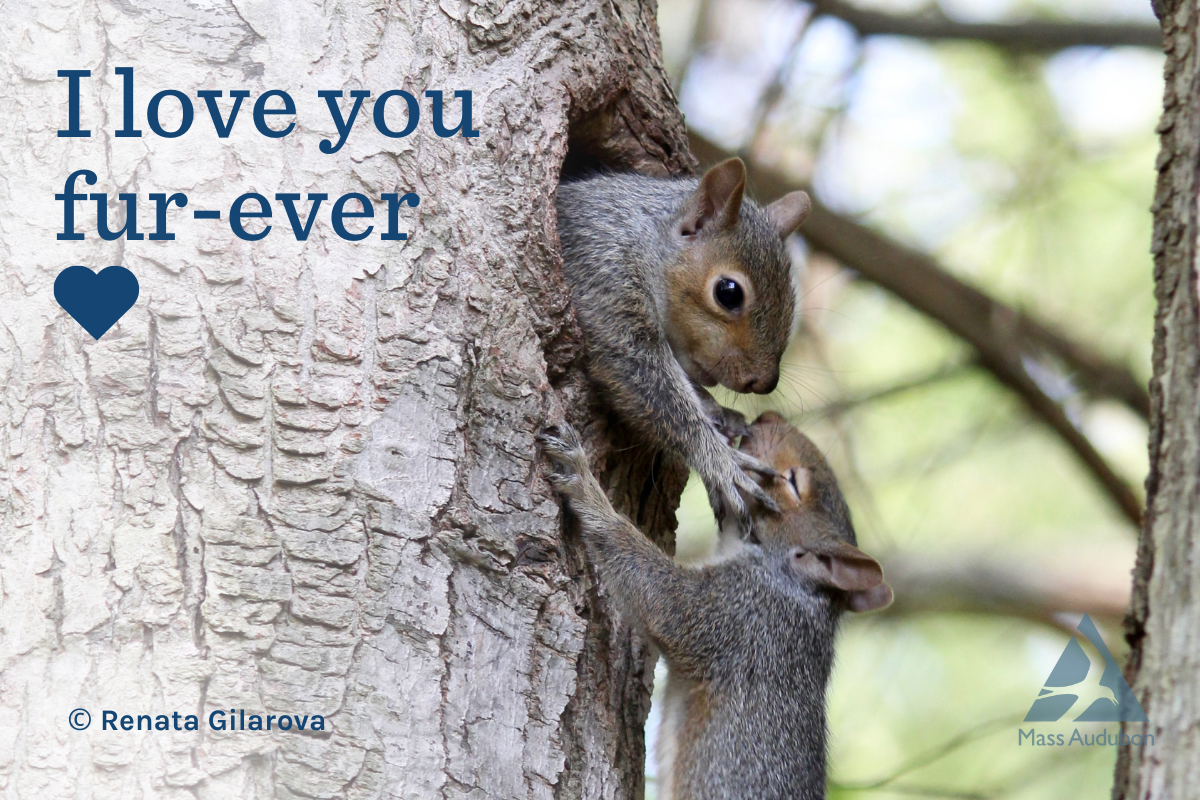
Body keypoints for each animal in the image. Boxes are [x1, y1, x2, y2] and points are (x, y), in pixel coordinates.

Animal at [539, 412, 892, 800]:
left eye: (793, 483)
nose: (768, 417)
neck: (792, 585)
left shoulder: (740, 611)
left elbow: (662, 595)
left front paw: (585, 486)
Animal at [555, 158, 811, 529]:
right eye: (729, 293)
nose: (765, 382)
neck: (643, 241)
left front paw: (716, 411)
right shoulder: (603, 278)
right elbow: (647, 384)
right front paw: (722, 461)